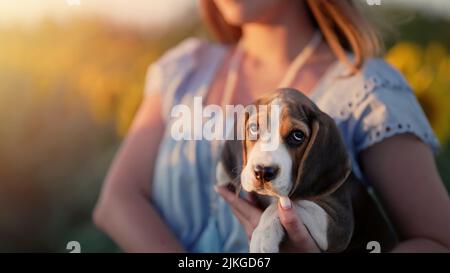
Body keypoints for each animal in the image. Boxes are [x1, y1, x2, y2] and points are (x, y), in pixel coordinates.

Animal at [216, 88, 396, 252]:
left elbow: (289, 204)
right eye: (254, 128)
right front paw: (223, 173)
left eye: (297, 135)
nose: (262, 171)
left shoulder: (339, 225)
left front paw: (262, 235)